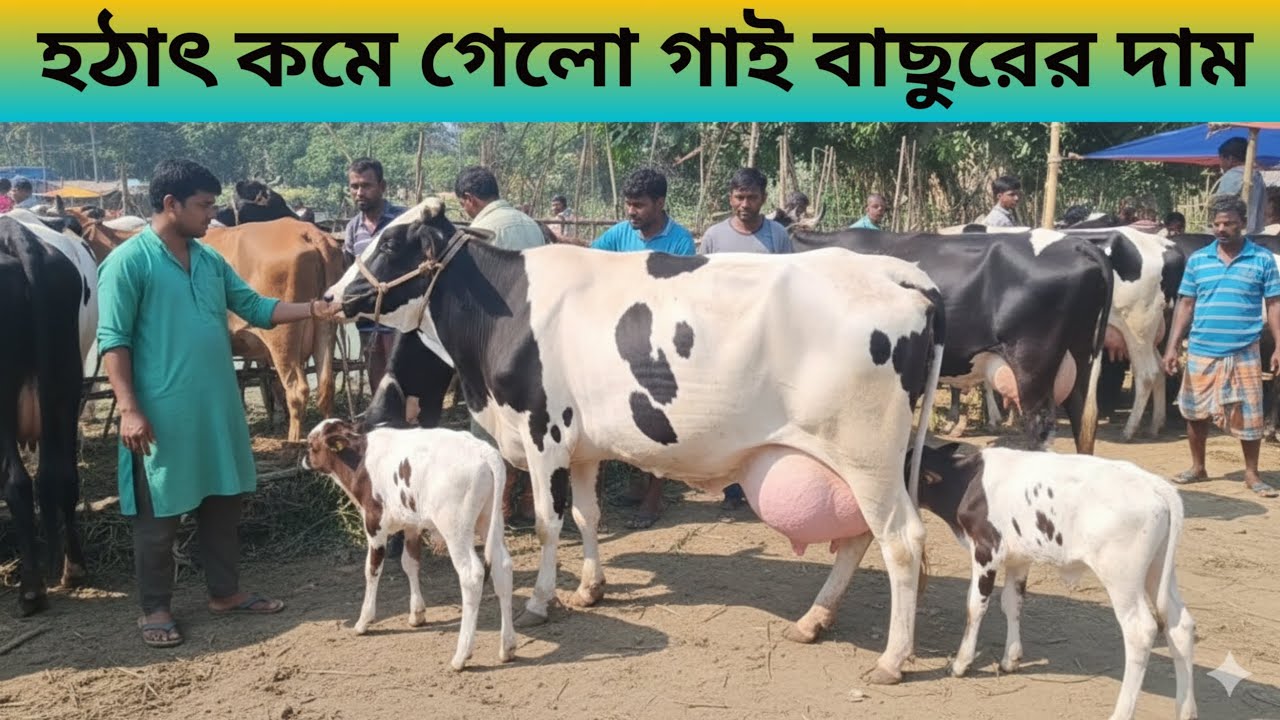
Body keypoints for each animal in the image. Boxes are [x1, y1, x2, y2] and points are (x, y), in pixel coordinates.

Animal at [202, 217, 346, 441]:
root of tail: (307, 231)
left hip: (282, 338)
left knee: (297, 390)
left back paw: (292, 440)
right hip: (325, 328)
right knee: (325, 386)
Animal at [303, 409, 516, 671]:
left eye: (311, 444)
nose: (304, 458)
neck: (359, 458)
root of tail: (484, 451)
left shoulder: (375, 524)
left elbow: (372, 570)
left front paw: (363, 621)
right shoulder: (412, 524)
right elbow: (410, 563)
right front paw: (417, 613)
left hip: (455, 528)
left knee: (472, 575)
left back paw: (461, 656)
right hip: (489, 520)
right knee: (502, 567)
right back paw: (507, 647)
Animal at [325, 197, 946, 685]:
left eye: (389, 242)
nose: (331, 296)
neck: (508, 308)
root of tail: (895, 273)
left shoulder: (543, 432)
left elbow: (549, 523)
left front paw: (541, 601)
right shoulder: (581, 445)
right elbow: (587, 516)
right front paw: (590, 588)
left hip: (868, 454)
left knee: (901, 542)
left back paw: (892, 660)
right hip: (857, 461)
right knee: (858, 538)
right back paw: (815, 620)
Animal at [910, 442, 1197, 720]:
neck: (967, 480)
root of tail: (1154, 483)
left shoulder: (986, 551)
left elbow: (975, 606)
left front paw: (961, 663)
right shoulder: (1018, 557)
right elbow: (1012, 603)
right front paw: (1011, 659)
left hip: (1122, 576)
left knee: (1140, 630)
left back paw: (1121, 713)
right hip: (1157, 569)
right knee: (1180, 626)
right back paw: (1186, 711)